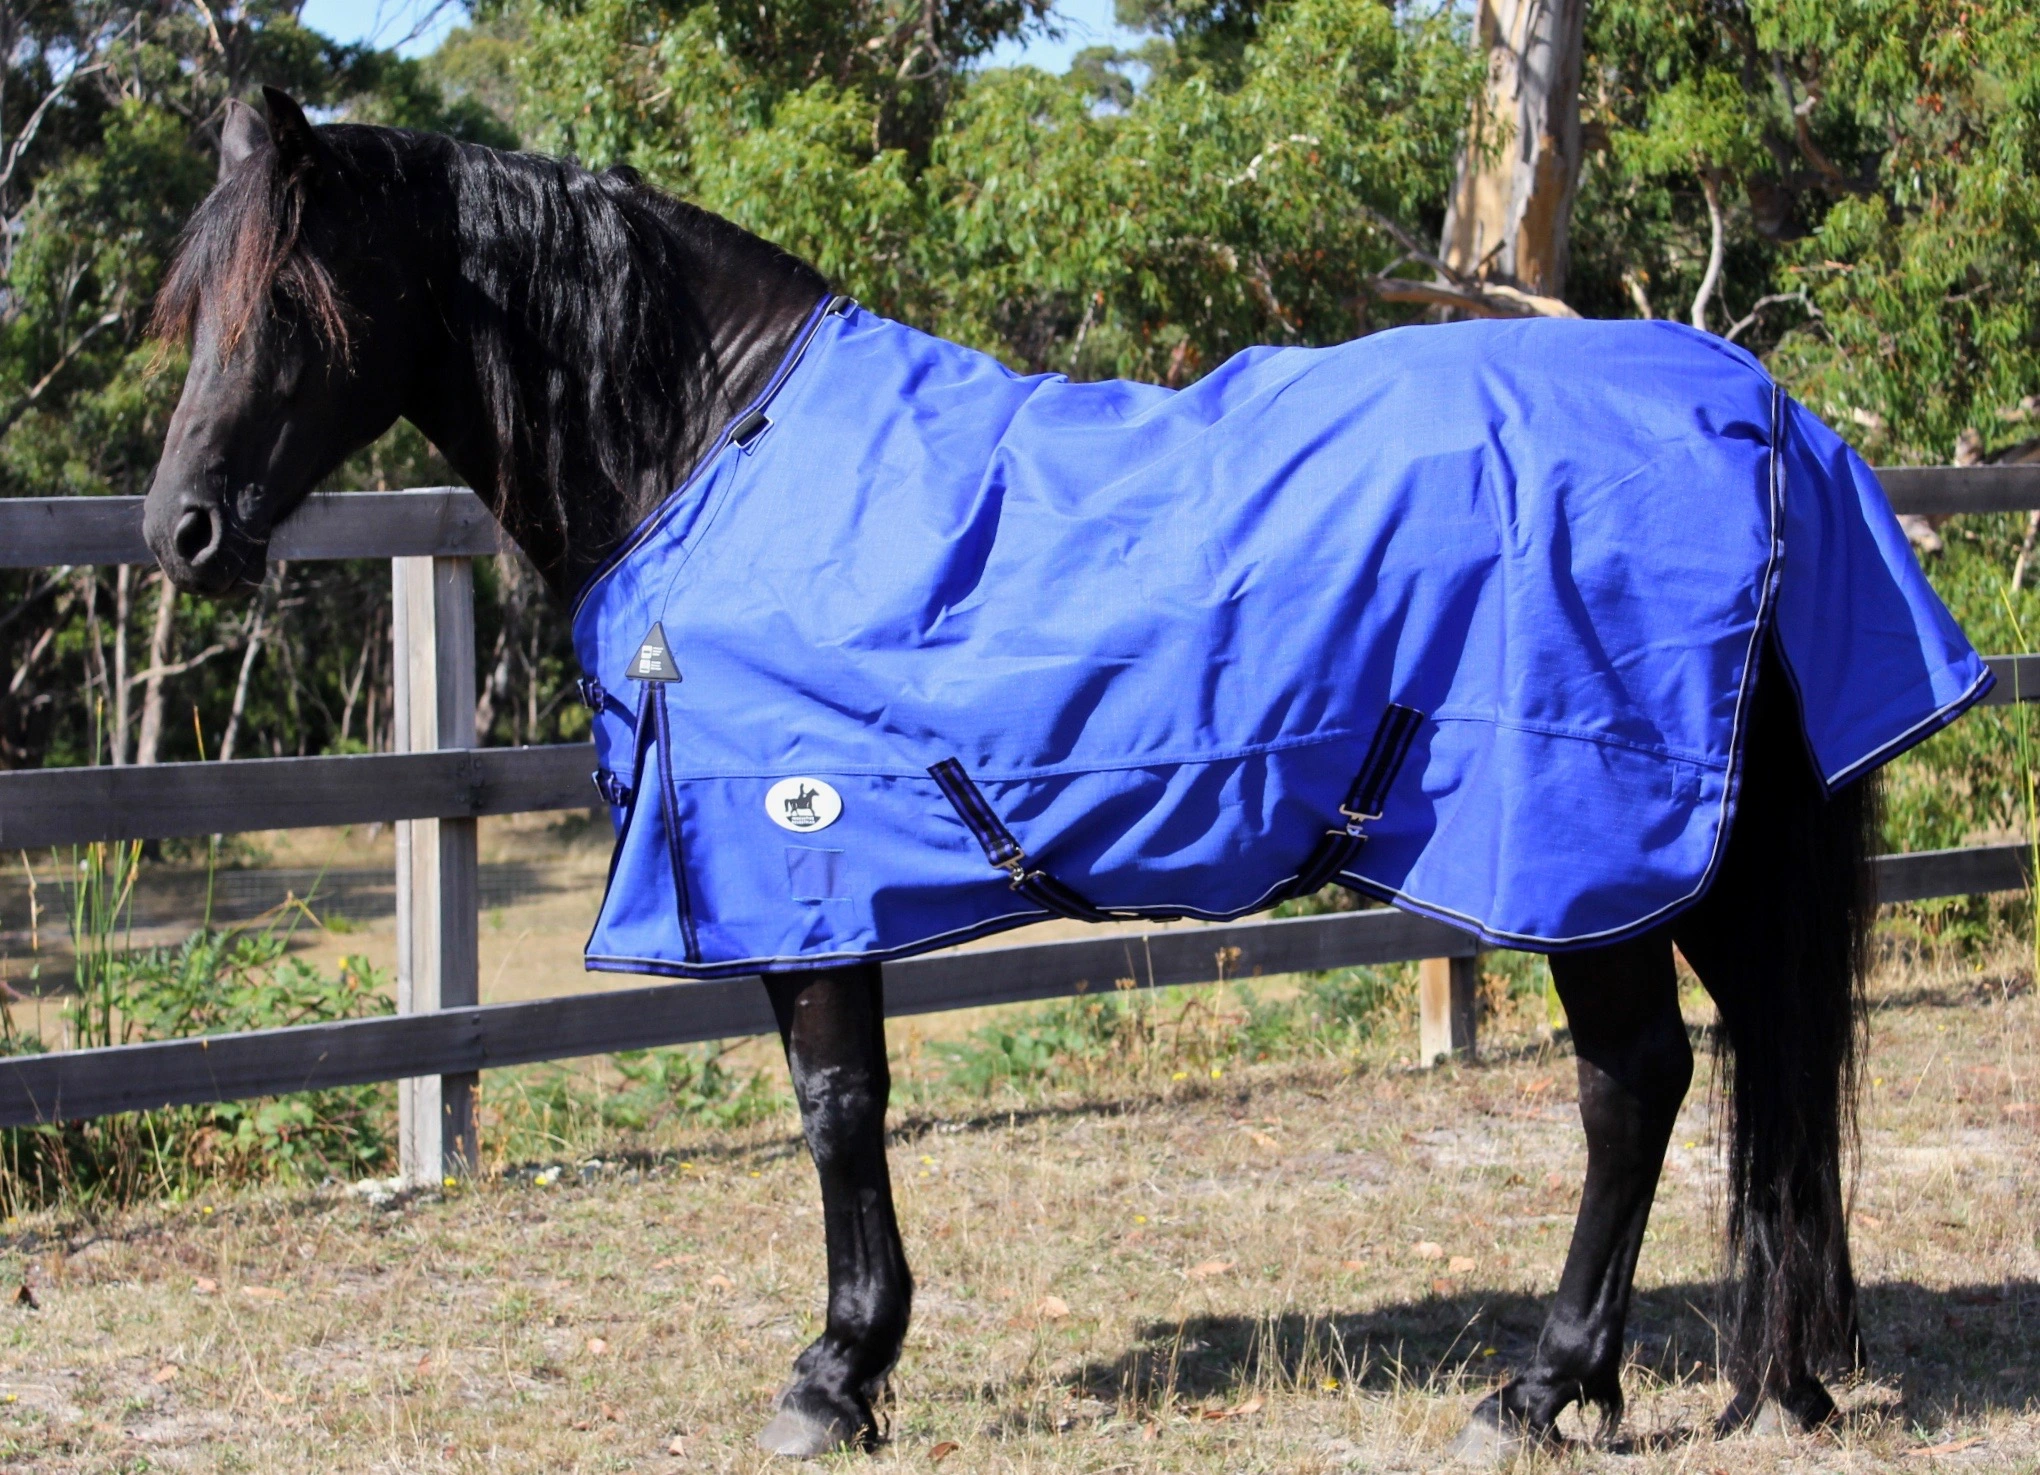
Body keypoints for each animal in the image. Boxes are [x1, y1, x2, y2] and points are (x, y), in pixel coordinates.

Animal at [141, 88, 1930, 1458]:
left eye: (291, 304)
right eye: (193, 310)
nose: (184, 532)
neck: (718, 447)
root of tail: (1766, 419)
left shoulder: (803, 862)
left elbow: (837, 1107)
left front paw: (836, 1374)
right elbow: (848, 1102)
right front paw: (853, 1363)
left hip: (1578, 855)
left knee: (1636, 1083)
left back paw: (1543, 1387)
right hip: (1697, 862)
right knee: (1756, 1064)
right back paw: (1761, 1374)